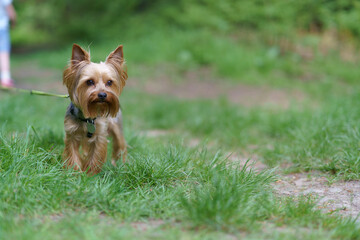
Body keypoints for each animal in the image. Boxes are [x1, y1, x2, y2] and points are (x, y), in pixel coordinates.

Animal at [62, 43, 127, 174]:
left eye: (109, 82)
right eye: (90, 81)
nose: (102, 95)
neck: (87, 118)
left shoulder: (99, 135)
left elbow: (95, 156)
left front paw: (90, 174)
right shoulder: (71, 133)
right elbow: (73, 154)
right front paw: (74, 172)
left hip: (117, 127)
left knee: (121, 145)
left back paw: (120, 164)